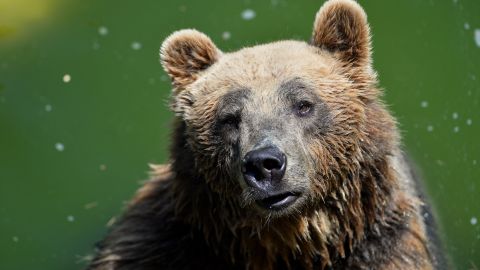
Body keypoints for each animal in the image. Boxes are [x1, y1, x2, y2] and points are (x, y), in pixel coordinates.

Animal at [85, 0, 446, 270]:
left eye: (303, 104)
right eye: (229, 118)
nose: (264, 163)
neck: (284, 242)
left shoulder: (383, 246)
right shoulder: (158, 243)